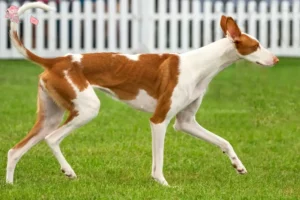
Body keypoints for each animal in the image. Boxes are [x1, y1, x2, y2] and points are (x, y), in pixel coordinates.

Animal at [6, 1, 278, 186]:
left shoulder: (186, 123)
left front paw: (238, 166)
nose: (275, 59)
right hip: (86, 109)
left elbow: (224, 141)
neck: (201, 65)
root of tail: (55, 61)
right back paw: (68, 171)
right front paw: (163, 183)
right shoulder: (159, 120)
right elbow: (158, 161)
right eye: (256, 45)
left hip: (50, 116)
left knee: (15, 150)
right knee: (52, 139)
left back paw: (10, 185)